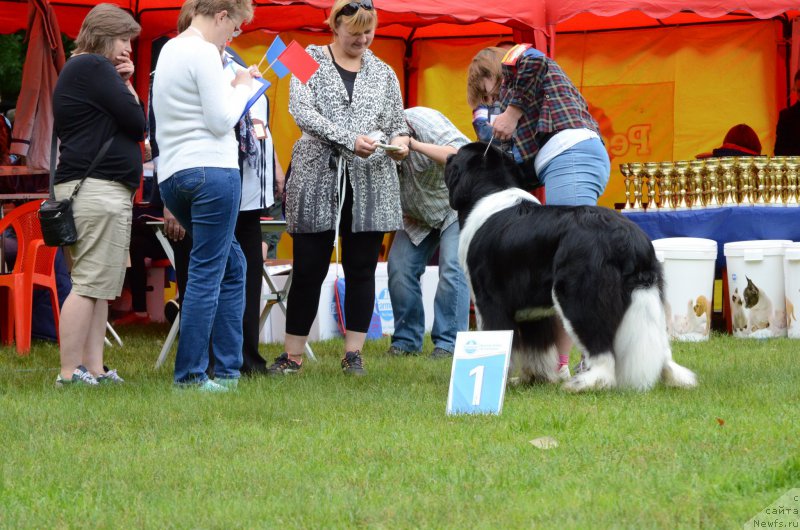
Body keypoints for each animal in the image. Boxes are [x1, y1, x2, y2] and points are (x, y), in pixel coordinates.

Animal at [446, 142, 696, 390]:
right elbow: (538, 348)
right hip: (649, 294)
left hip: (576, 294)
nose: (447, 156)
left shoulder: (489, 300)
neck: (492, 188)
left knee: (602, 352)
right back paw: (674, 375)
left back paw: (586, 383)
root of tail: (626, 236)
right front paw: (534, 379)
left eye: (457, 155)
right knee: (660, 345)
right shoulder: (531, 310)